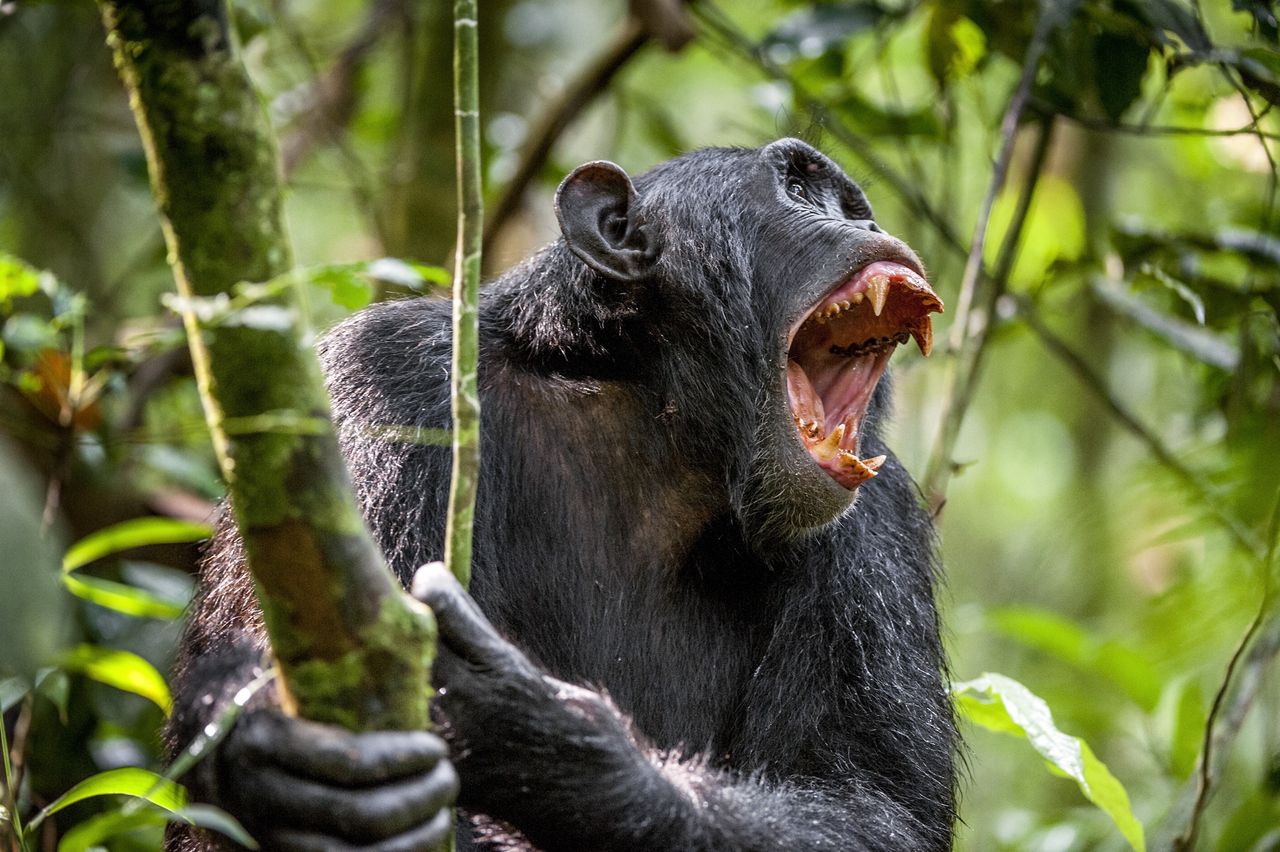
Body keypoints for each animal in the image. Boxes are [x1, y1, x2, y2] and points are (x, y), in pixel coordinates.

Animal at [165, 140, 957, 849]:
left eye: (850, 205)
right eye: (798, 189)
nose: (865, 225)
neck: (653, 414)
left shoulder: (879, 523)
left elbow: (874, 806)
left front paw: (548, 733)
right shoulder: (378, 382)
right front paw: (263, 746)